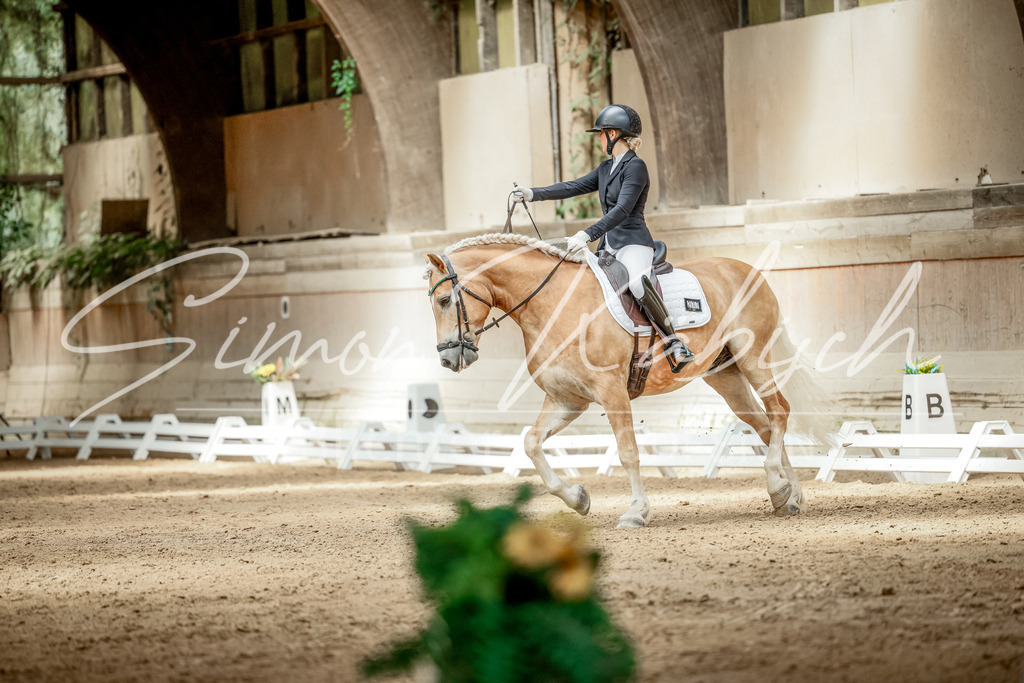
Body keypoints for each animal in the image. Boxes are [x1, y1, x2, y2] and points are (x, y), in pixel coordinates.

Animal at [423, 233, 832, 529]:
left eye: (444, 300)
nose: (446, 358)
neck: (553, 303)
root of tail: (749, 270)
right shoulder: (566, 400)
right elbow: (531, 443)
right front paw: (579, 498)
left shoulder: (611, 393)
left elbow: (629, 453)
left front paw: (636, 512)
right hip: (725, 375)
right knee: (764, 425)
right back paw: (788, 496)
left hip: (753, 358)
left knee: (779, 411)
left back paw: (778, 484)